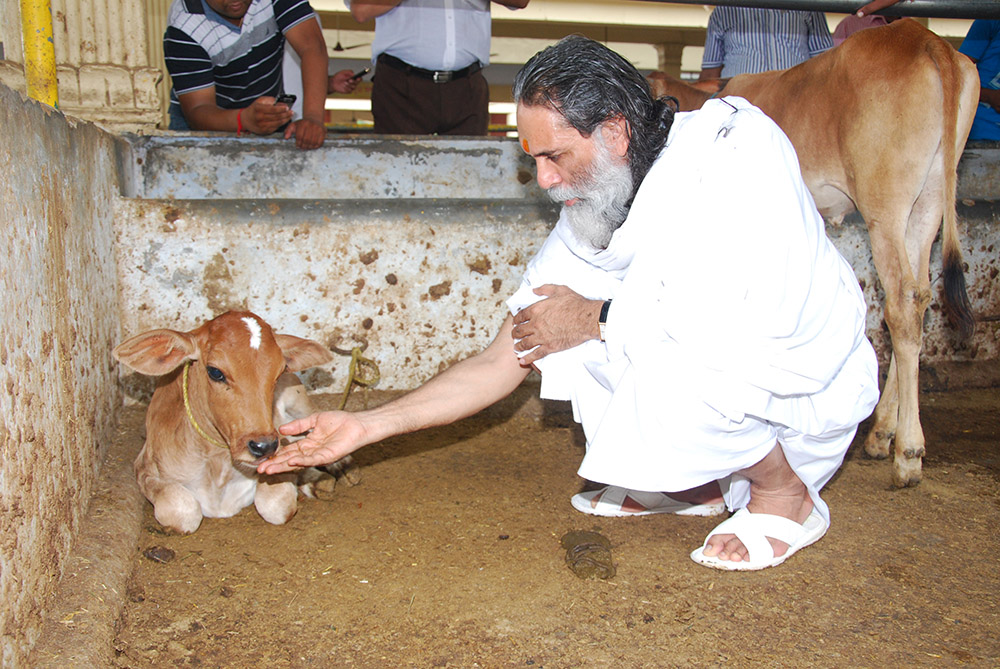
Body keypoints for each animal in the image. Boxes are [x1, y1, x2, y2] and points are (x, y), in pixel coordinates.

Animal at [114, 310, 359, 534]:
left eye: (279, 372)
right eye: (215, 372)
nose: (264, 446)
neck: (218, 462)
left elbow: (276, 505)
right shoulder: (144, 467)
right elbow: (182, 510)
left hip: (298, 401)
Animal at [648, 18, 979, 488]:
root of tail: (924, 39)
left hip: (886, 206)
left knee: (900, 304)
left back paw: (908, 453)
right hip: (928, 203)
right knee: (918, 298)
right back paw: (882, 433)